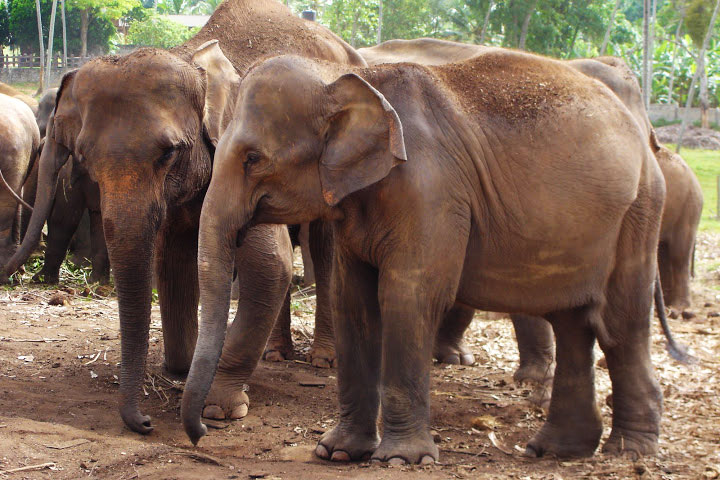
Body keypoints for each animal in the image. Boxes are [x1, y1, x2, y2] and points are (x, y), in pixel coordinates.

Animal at [2, 0, 368, 436]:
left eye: (169, 152)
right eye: (86, 158)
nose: (144, 423)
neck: (189, 54)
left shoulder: (244, 156)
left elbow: (270, 264)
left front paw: (218, 409)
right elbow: (172, 262)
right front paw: (185, 367)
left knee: (324, 246)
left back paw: (323, 360)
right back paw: (275, 355)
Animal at [184, 47, 668, 462]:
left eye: (253, 158)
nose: (203, 432)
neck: (350, 78)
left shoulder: (432, 190)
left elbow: (409, 295)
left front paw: (401, 459)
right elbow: (352, 299)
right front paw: (336, 452)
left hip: (639, 213)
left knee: (620, 323)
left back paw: (631, 449)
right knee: (573, 321)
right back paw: (555, 450)